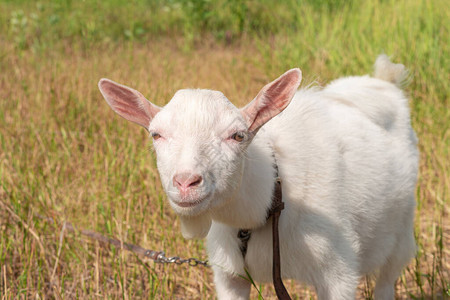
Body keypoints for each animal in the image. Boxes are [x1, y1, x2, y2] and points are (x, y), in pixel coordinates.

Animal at [97, 55, 418, 298]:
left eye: (238, 135)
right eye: (156, 134)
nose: (186, 182)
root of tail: (383, 81)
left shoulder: (338, 271)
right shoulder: (229, 274)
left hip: (401, 233)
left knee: (387, 279)